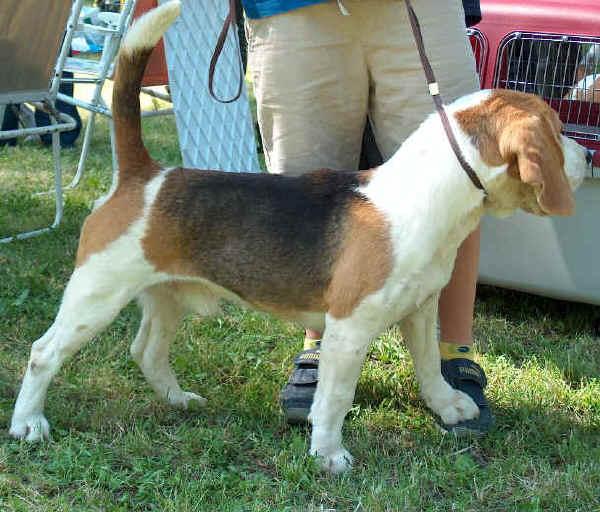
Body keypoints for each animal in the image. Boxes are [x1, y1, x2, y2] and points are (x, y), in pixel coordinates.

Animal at [10, 2, 592, 472]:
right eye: (556, 128)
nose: (587, 158)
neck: (425, 197)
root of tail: (145, 174)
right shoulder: (350, 329)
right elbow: (334, 399)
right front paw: (329, 454)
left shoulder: (421, 310)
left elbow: (430, 367)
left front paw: (449, 408)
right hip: (96, 295)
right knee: (43, 353)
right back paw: (28, 424)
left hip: (166, 294)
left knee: (146, 351)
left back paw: (178, 400)